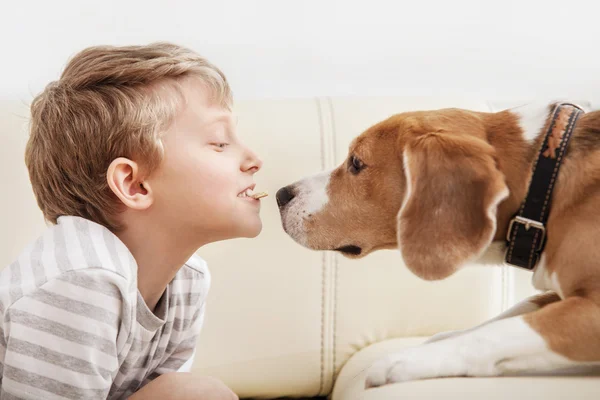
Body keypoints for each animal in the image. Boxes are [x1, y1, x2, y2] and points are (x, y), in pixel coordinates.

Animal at [276, 101, 600, 388]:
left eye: (356, 162)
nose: (281, 195)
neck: (546, 179)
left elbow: (502, 329)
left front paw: (406, 360)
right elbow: (514, 311)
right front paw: (438, 339)